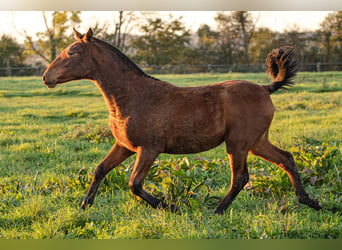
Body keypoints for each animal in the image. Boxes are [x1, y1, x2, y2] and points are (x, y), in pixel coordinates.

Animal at [42, 27, 320, 215]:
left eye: (72, 52)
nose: (46, 77)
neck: (133, 96)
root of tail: (265, 88)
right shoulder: (124, 146)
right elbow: (100, 169)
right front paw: (84, 205)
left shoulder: (149, 149)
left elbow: (134, 184)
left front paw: (171, 206)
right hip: (257, 142)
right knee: (286, 159)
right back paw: (310, 201)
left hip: (238, 144)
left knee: (240, 178)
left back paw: (217, 210)